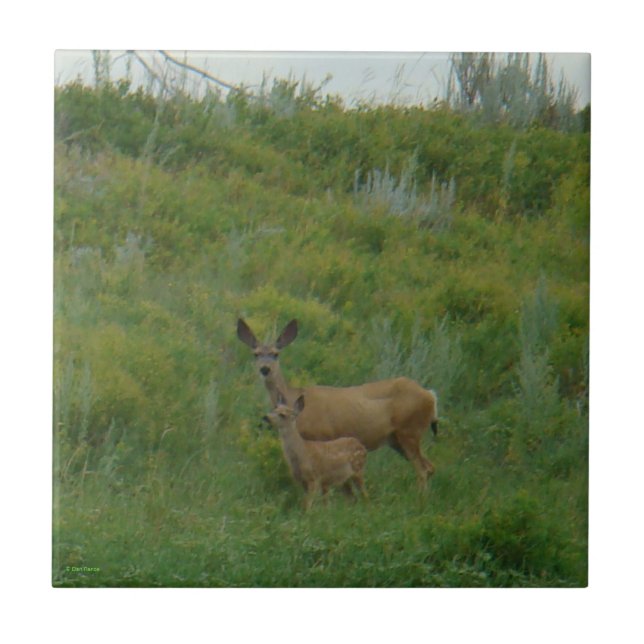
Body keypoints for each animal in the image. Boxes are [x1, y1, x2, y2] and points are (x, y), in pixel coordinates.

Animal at [237, 317, 439, 488]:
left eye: (275, 354)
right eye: (256, 354)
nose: (265, 369)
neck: (293, 397)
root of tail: (430, 395)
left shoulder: (322, 436)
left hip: (409, 430)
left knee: (423, 469)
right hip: (396, 439)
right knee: (430, 467)